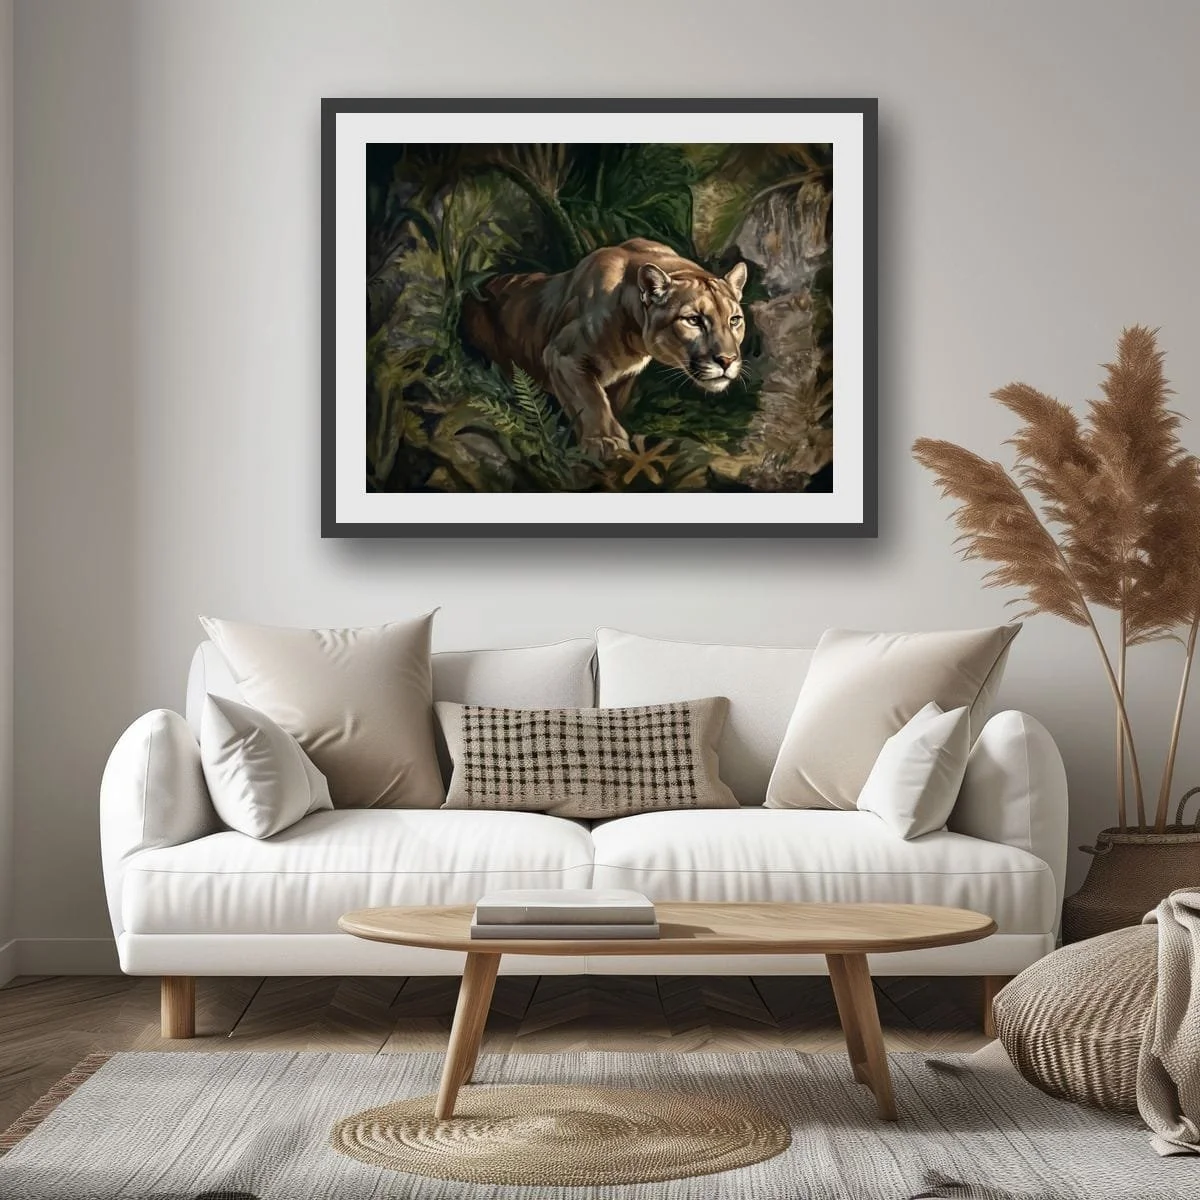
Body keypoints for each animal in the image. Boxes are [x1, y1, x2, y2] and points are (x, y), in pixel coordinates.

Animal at [462, 237, 748, 457]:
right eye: (693, 320)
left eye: (734, 320)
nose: (727, 360)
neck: (635, 333)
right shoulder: (563, 356)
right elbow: (591, 400)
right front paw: (605, 440)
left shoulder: (625, 377)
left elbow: (609, 402)